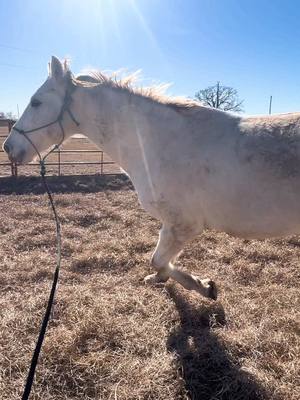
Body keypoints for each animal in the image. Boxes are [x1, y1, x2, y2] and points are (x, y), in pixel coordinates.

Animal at [4, 57, 300, 300]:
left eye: (36, 102)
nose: (9, 147)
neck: (161, 142)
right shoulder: (172, 225)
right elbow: (160, 263)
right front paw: (168, 280)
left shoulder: (183, 225)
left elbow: (157, 260)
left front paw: (204, 287)